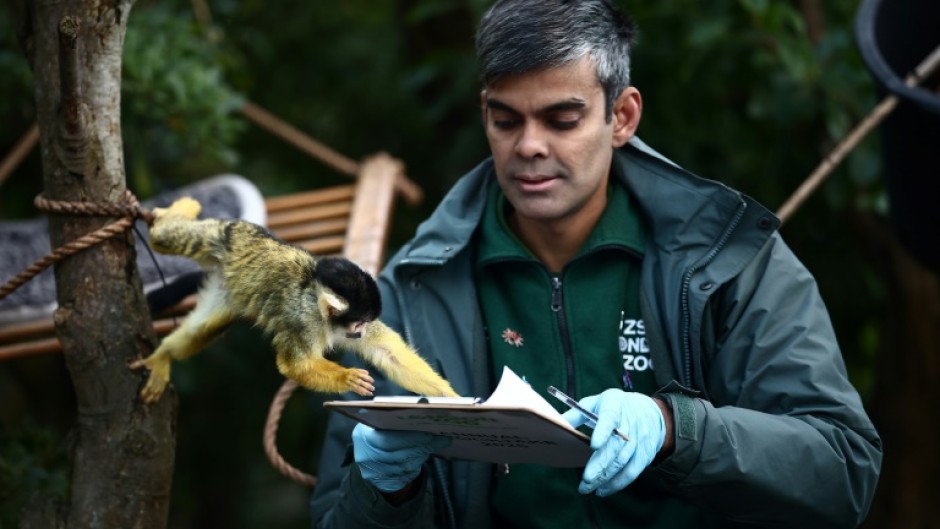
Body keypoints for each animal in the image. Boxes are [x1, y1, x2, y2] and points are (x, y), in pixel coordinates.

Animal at [129, 197, 458, 403]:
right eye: (358, 324)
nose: (361, 331)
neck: (319, 310)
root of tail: (246, 228)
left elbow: (387, 352)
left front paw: (451, 397)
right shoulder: (302, 322)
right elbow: (294, 365)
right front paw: (348, 379)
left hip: (227, 281)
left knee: (204, 328)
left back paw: (163, 355)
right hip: (221, 235)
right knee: (164, 237)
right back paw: (179, 209)